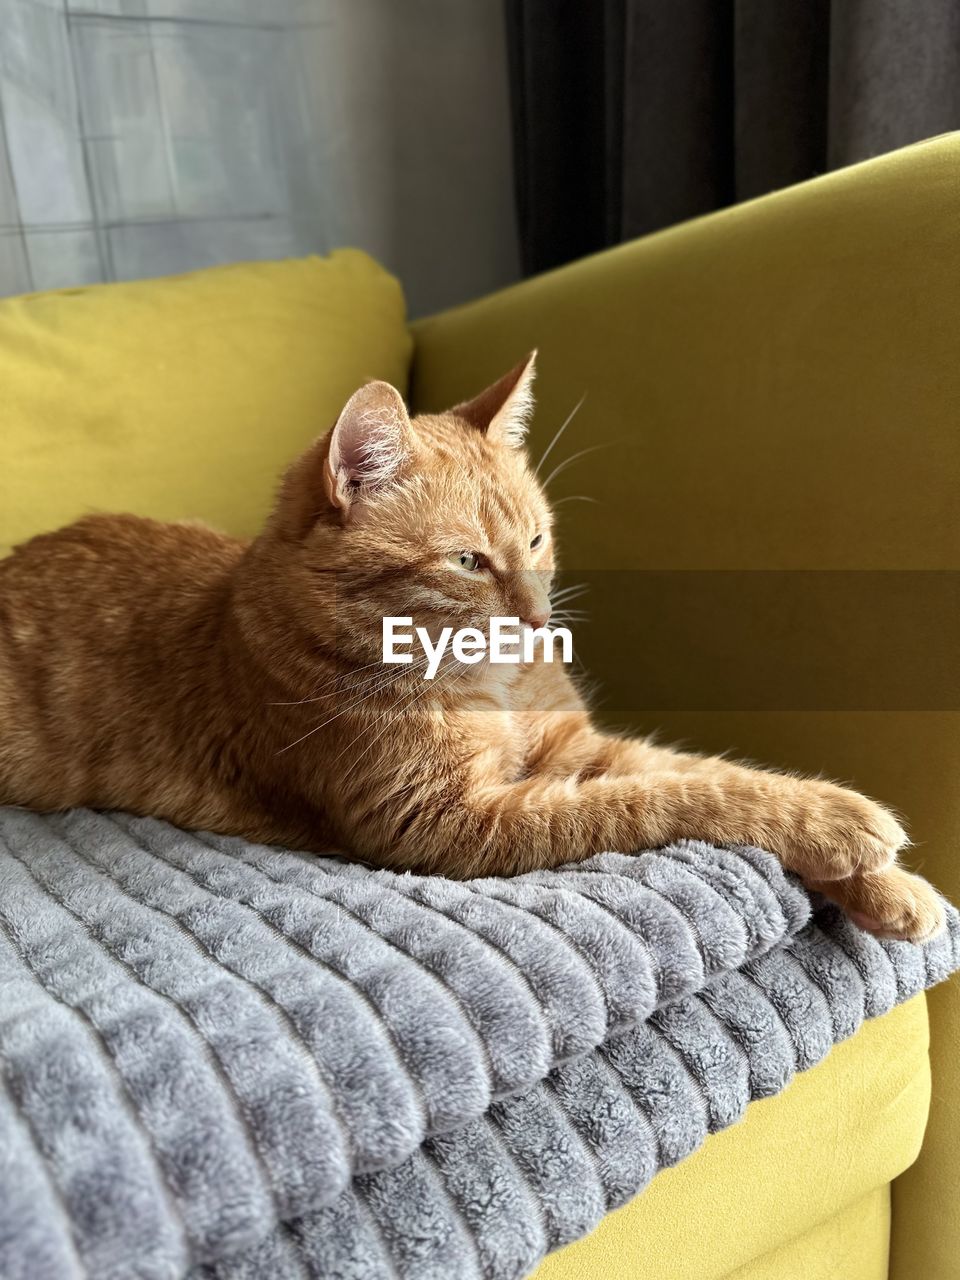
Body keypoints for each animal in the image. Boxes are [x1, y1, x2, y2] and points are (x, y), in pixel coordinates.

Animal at [0, 353, 947, 942]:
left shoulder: (576, 747)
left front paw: (888, 884)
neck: (492, 687)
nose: (536, 619)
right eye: (468, 562)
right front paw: (848, 826)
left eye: (536, 540)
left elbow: (713, 774)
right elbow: (668, 800)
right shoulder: (449, 823)